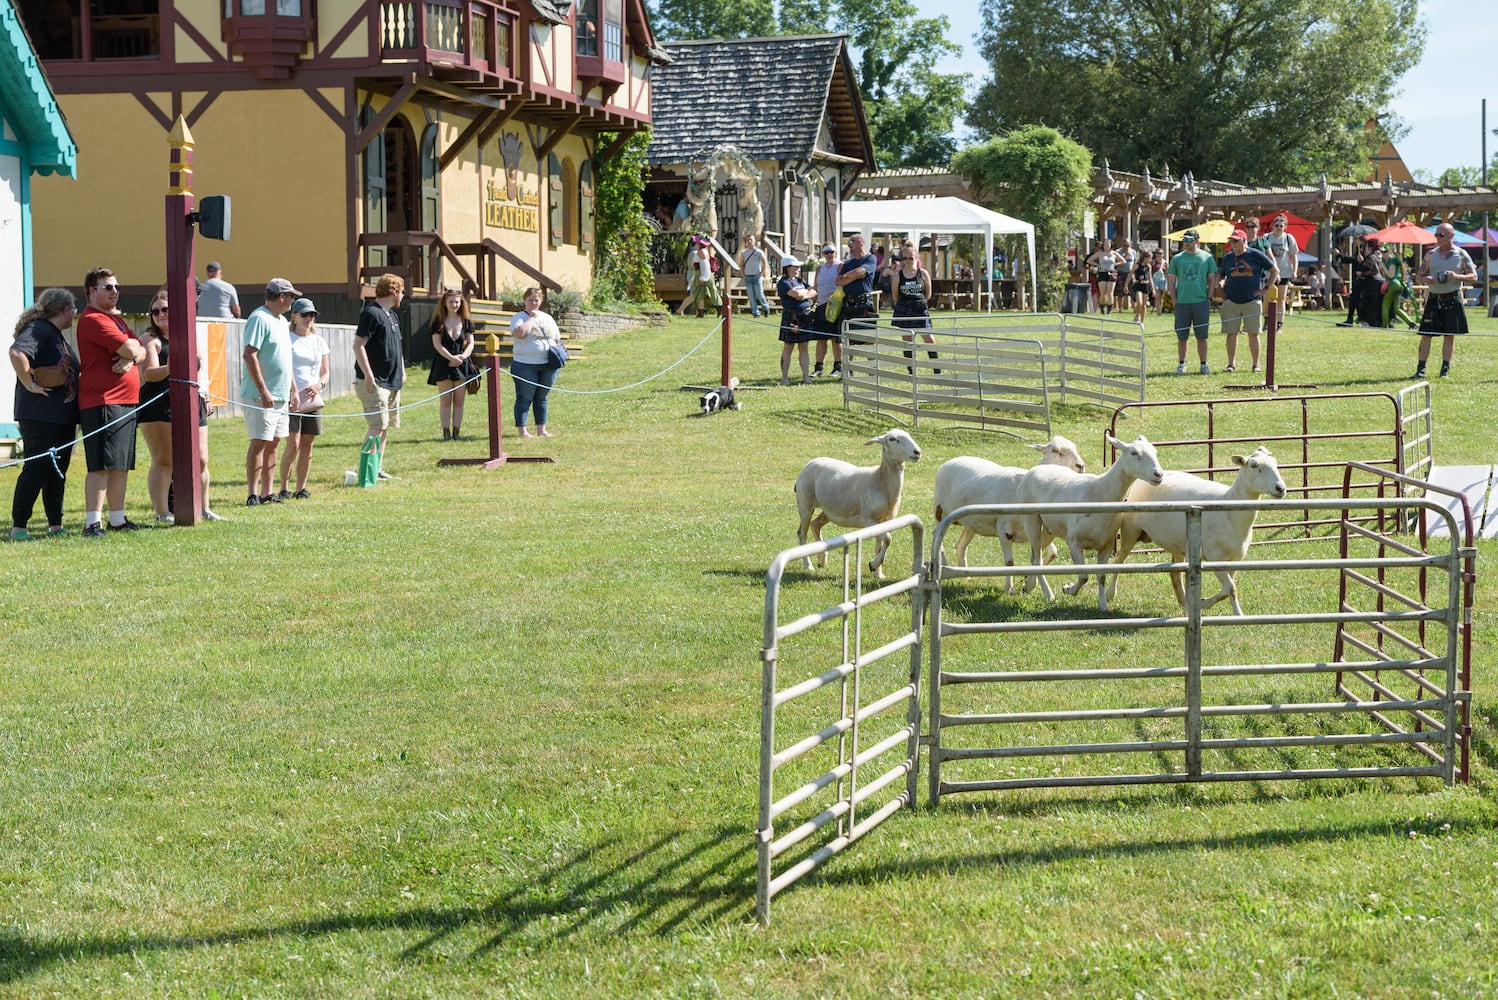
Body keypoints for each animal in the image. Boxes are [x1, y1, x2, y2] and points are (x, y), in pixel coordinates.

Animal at [796, 428, 922, 577]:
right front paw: (873, 564)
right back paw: (808, 566)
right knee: (802, 533)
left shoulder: (885, 520)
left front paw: (878, 573)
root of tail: (809, 463)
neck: (880, 480)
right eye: (892, 439)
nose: (917, 452)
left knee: (815, 524)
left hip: (830, 509)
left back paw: (822, 561)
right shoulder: (869, 519)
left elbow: (880, 545)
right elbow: (888, 539)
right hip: (805, 503)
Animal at [928, 434, 1084, 589]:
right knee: (937, 534)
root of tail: (950, 461)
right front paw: (1011, 588)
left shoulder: (1037, 533)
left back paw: (966, 577)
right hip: (940, 512)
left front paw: (1028, 580)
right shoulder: (1004, 530)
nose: (1081, 466)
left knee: (960, 545)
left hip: (971, 523)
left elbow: (1050, 554)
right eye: (1055, 450)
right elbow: (1009, 562)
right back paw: (944, 567)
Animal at [1018, 431, 1168, 610]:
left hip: (1049, 529)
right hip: (1031, 519)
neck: (1099, 492)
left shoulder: (1106, 545)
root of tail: (1037, 467)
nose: (1158, 474)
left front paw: (1103, 605)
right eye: (1133, 453)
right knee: (1038, 559)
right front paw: (1068, 589)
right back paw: (1048, 594)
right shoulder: (1074, 542)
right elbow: (1083, 576)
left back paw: (1029, 585)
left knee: (1034, 557)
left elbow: (1101, 576)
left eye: (1155, 452)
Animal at [1108, 446, 1294, 616]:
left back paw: (1184, 603)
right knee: (1119, 561)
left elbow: (1228, 589)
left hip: (1179, 544)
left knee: (1175, 574)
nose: (1280, 488)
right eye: (1254, 465)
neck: (1230, 511)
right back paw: (1110, 594)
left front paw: (1206, 604)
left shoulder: (1236, 558)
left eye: (1275, 463)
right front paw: (1233, 613)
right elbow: (1230, 588)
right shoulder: (1215, 556)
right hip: (1130, 530)